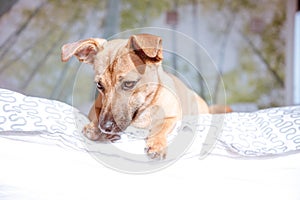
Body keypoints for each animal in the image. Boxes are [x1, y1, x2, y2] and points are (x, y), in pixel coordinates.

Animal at [61, 34, 229, 159]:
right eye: (99, 85)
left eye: (129, 83)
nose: (105, 127)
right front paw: (95, 127)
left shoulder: (171, 117)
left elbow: (160, 128)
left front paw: (157, 144)